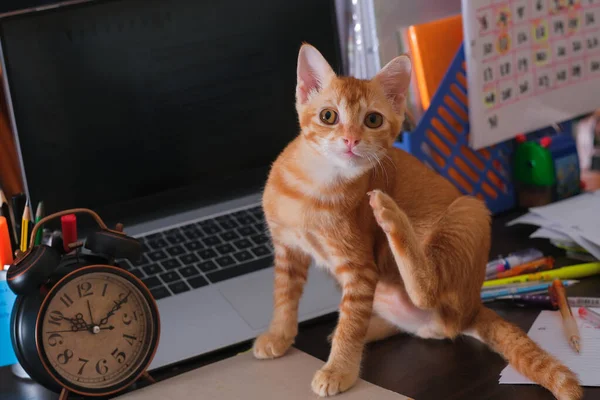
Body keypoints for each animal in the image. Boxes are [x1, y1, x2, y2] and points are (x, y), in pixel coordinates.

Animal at [252, 43, 580, 400]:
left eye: (372, 120)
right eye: (329, 116)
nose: (351, 140)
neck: (316, 185)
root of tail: (472, 307)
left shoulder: (359, 268)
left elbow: (351, 322)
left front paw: (339, 368)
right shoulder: (288, 250)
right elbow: (285, 297)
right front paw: (279, 335)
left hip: (469, 213)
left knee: (427, 290)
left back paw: (391, 214)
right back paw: (369, 326)